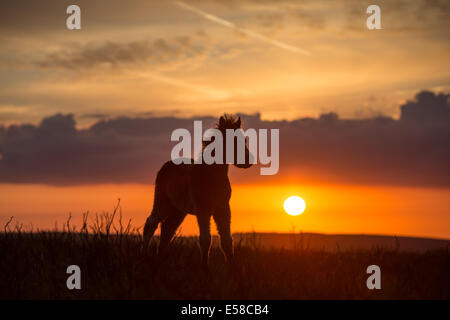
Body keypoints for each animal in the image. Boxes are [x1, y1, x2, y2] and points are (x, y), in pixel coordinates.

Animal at [142, 115, 251, 268]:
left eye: (244, 140)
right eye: (230, 141)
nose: (248, 161)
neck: (212, 177)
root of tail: (165, 166)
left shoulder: (223, 208)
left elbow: (227, 241)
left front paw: (232, 268)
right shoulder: (202, 209)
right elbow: (205, 239)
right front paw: (204, 268)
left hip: (179, 210)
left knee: (167, 229)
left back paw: (161, 260)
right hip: (162, 203)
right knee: (151, 224)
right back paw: (144, 257)